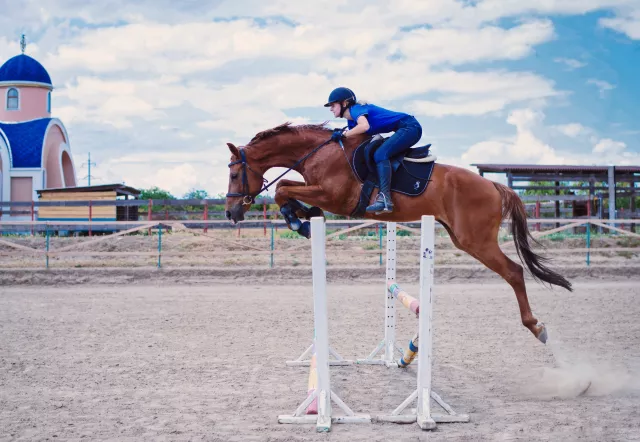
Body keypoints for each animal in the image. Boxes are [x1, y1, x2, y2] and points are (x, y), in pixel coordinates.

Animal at [224, 122, 568, 344]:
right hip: (463, 238)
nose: (231, 213)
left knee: (514, 271)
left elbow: (281, 189)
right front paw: (304, 216)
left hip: (476, 241)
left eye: (234, 173)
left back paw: (536, 327)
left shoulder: (335, 197)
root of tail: (495, 185)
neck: (317, 152)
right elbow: (285, 187)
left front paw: (299, 220)